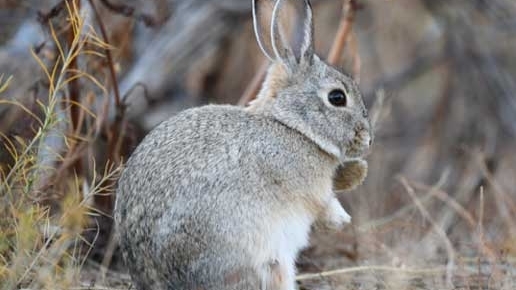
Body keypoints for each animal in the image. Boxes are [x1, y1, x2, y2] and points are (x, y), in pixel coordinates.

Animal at [114, 0, 370, 290]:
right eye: (337, 97)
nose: (367, 138)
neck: (290, 125)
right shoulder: (309, 188)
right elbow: (324, 205)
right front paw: (342, 219)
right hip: (264, 262)